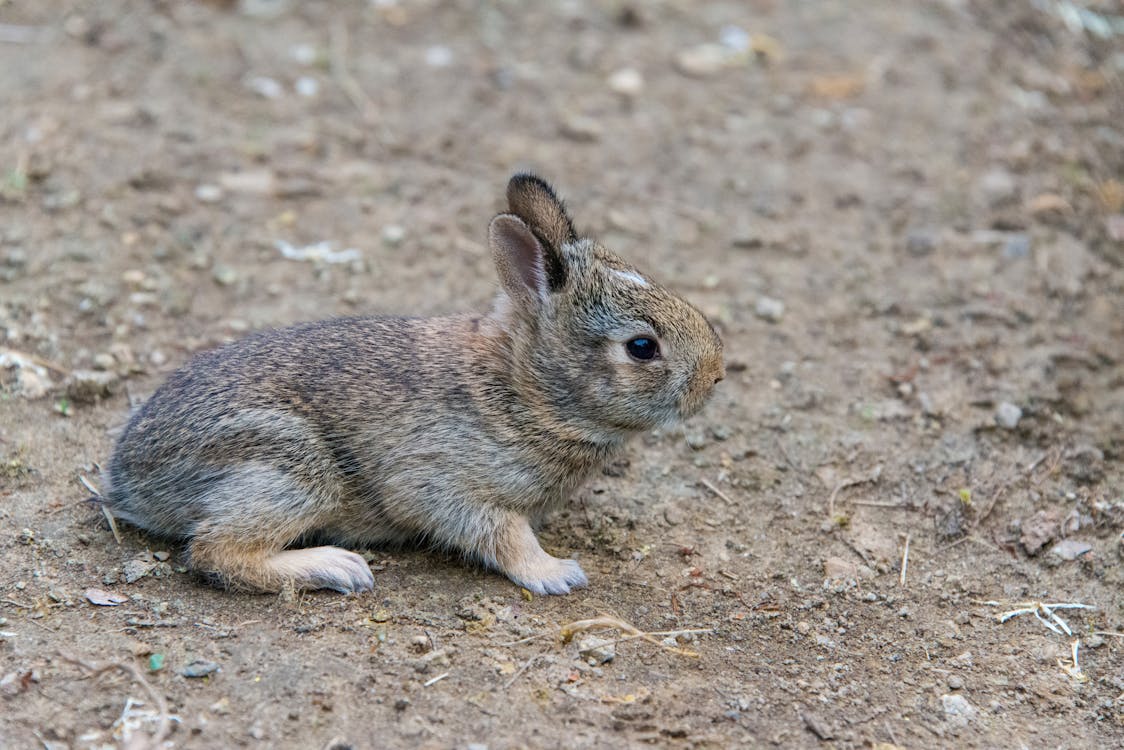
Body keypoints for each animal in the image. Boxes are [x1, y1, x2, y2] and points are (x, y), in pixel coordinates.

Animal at [100, 174, 725, 596]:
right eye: (641, 347)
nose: (715, 375)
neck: (527, 390)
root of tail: (127, 481)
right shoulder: (440, 482)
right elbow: (502, 531)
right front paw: (555, 573)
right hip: (286, 464)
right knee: (214, 552)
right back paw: (338, 567)